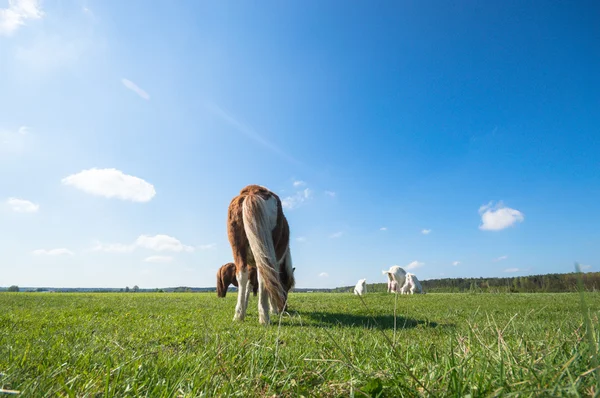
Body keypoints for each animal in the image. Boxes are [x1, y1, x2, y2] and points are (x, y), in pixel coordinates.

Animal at [227, 183, 296, 324]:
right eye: (286, 286)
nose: (284, 308)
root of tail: (252, 192)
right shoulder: (277, 261)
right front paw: (273, 309)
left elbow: (248, 284)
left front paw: (244, 308)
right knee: (264, 276)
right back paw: (265, 317)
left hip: (238, 249)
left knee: (242, 275)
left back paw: (239, 315)